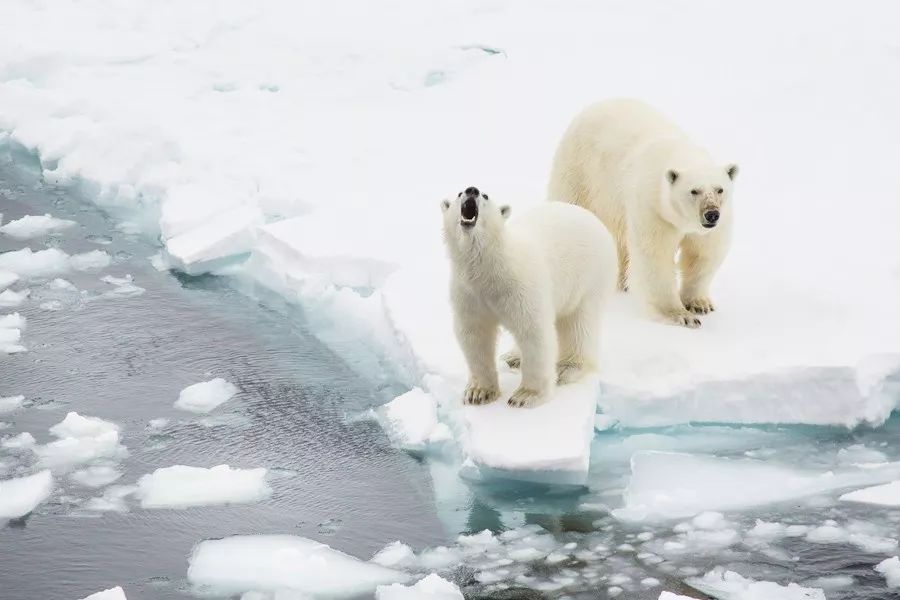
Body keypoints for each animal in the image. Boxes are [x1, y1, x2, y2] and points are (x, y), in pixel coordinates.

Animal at [440, 185, 616, 406]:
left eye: (486, 196)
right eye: (459, 194)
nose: (472, 190)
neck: (490, 267)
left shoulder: (521, 287)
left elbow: (533, 331)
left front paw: (525, 396)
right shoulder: (468, 293)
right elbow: (474, 335)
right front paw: (479, 392)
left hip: (589, 277)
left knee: (579, 323)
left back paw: (566, 368)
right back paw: (513, 357)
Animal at [548, 97, 740, 328]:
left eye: (720, 189)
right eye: (694, 191)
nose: (711, 214)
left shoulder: (715, 223)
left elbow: (703, 253)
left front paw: (699, 304)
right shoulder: (653, 208)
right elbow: (655, 257)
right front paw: (680, 315)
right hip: (579, 171)